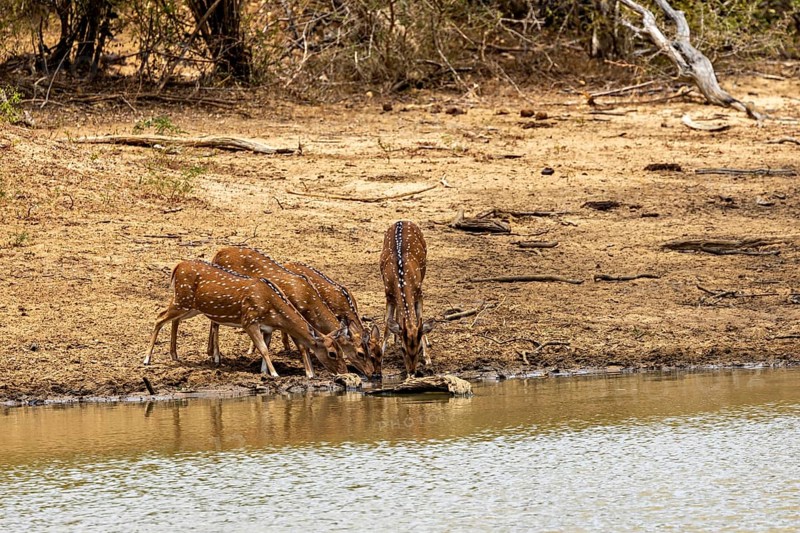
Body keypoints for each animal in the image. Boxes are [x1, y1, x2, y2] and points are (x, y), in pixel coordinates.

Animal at [143, 260, 348, 377]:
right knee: (159, 317)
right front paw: (275, 374)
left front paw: (264, 372)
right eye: (332, 353)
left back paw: (174, 355)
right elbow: (263, 349)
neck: (271, 307)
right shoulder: (249, 320)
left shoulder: (266, 327)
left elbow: (266, 348)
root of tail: (177, 267)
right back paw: (147, 359)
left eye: (341, 349)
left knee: (169, 318)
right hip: (182, 301)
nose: (344, 371)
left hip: (189, 306)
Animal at [208, 247, 370, 376]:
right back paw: (216, 357)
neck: (308, 301)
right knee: (215, 322)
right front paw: (310, 373)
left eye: (374, 350)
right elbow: (303, 345)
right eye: (360, 353)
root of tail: (218, 253)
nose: (372, 373)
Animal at [379, 220, 435, 376]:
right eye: (403, 349)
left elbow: (419, 319)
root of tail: (402, 221)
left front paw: (427, 358)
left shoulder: (419, 293)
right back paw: (396, 336)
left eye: (418, 349)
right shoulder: (388, 295)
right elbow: (387, 326)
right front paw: (380, 357)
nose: (412, 371)